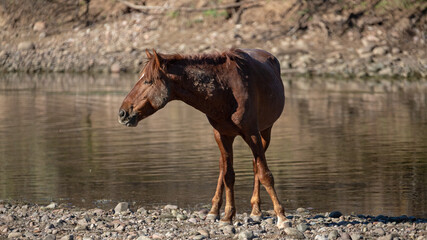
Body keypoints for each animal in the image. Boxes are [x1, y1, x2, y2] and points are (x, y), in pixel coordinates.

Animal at [119, 48, 288, 227]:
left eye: (148, 81)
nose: (122, 113)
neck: (227, 90)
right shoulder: (222, 135)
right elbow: (228, 176)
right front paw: (228, 216)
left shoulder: (252, 134)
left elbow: (264, 174)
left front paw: (281, 216)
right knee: (223, 168)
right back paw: (215, 210)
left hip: (265, 133)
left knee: (255, 166)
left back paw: (256, 211)